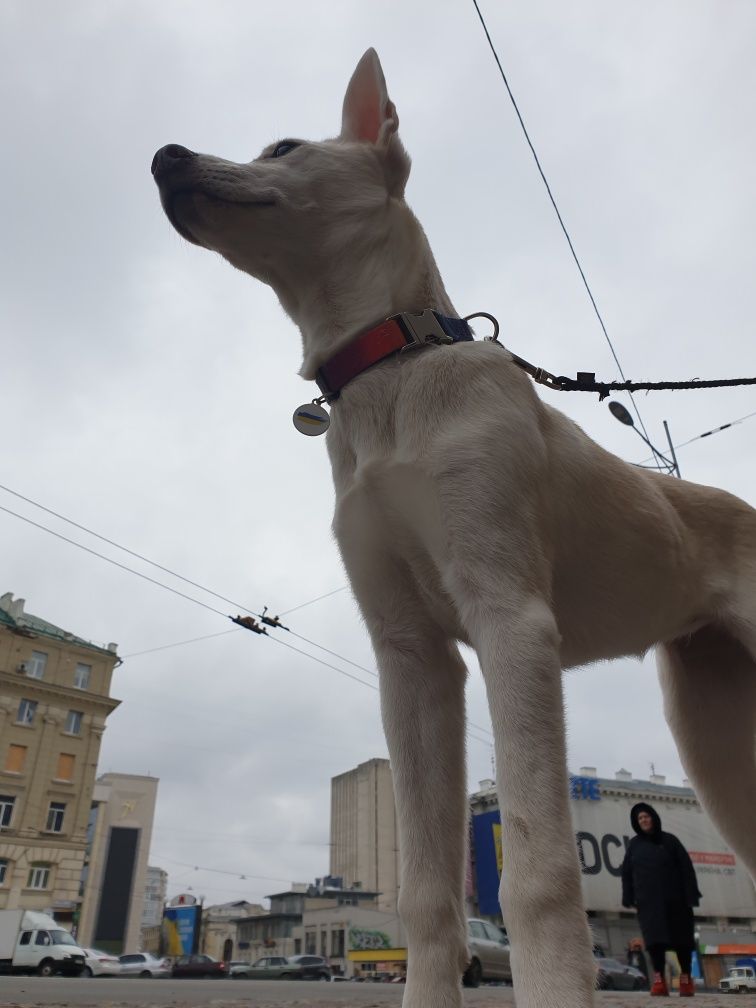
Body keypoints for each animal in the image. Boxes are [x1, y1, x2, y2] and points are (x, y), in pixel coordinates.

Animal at [154, 51, 756, 1008]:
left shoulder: (511, 621)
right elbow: (427, 890)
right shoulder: (413, 662)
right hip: (715, 734)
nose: (163, 155)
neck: (395, 366)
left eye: (282, 147)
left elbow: (538, 875)